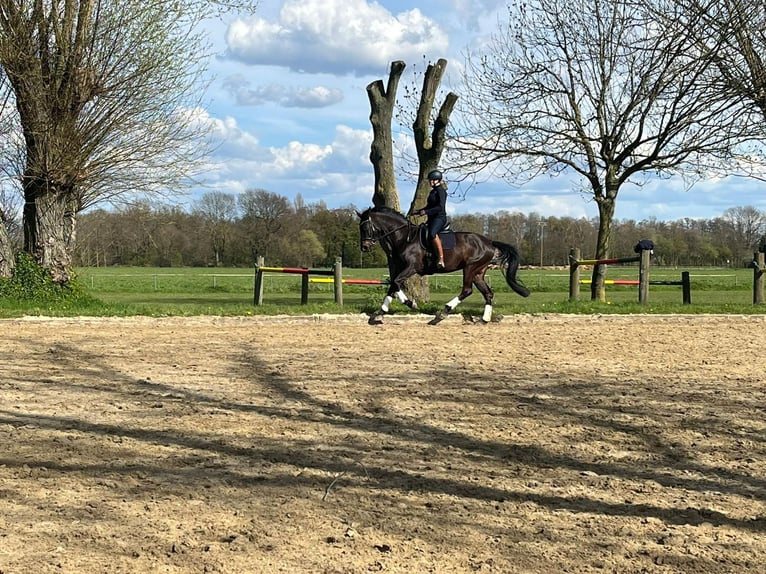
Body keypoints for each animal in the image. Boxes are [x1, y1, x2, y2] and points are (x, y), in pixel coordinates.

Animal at [356, 207, 532, 326]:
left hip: (470, 268)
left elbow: (396, 283)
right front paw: (379, 314)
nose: (364, 247)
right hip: (478, 272)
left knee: (467, 290)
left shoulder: (411, 267)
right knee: (488, 293)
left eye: (365, 227)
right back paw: (483, 320)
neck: (404, 237)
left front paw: (411, 304)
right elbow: (392, 285)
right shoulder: (399, 269)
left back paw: (441, 314)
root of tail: (489, 242)